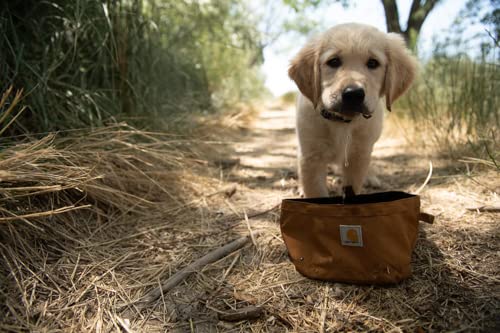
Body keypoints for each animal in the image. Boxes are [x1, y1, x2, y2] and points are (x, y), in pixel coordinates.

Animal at [288, 22, 416, 197]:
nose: (353, 94)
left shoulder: (358, 155)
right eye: (334, 61)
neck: (342, 122)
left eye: (373, 63)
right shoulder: (311, 156)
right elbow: (315, 190)